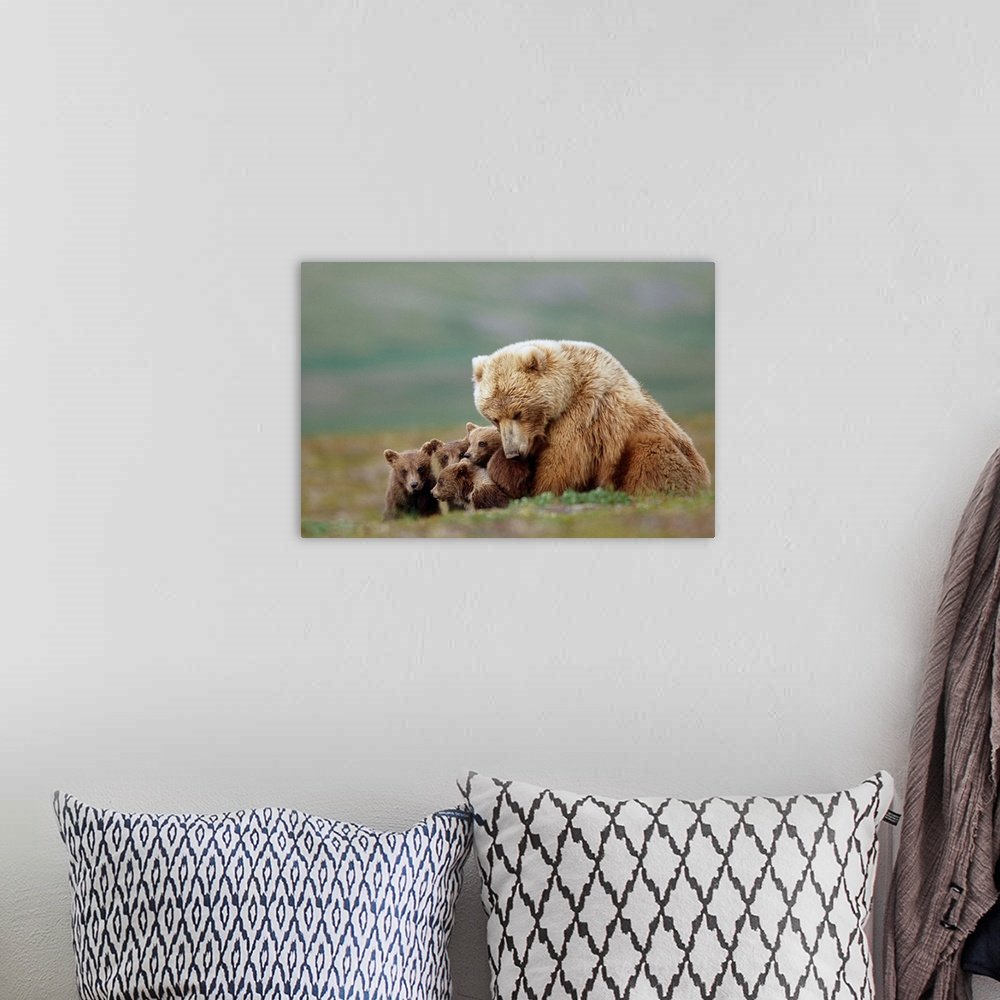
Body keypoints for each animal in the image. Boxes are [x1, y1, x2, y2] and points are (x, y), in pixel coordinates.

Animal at [471, 340, 711, 496]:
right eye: (494, 418)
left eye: (518, 413)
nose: (513, 452)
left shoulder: (584, 416)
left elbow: (561, 465)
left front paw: (540, 489)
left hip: (679, 460)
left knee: (651, 449)